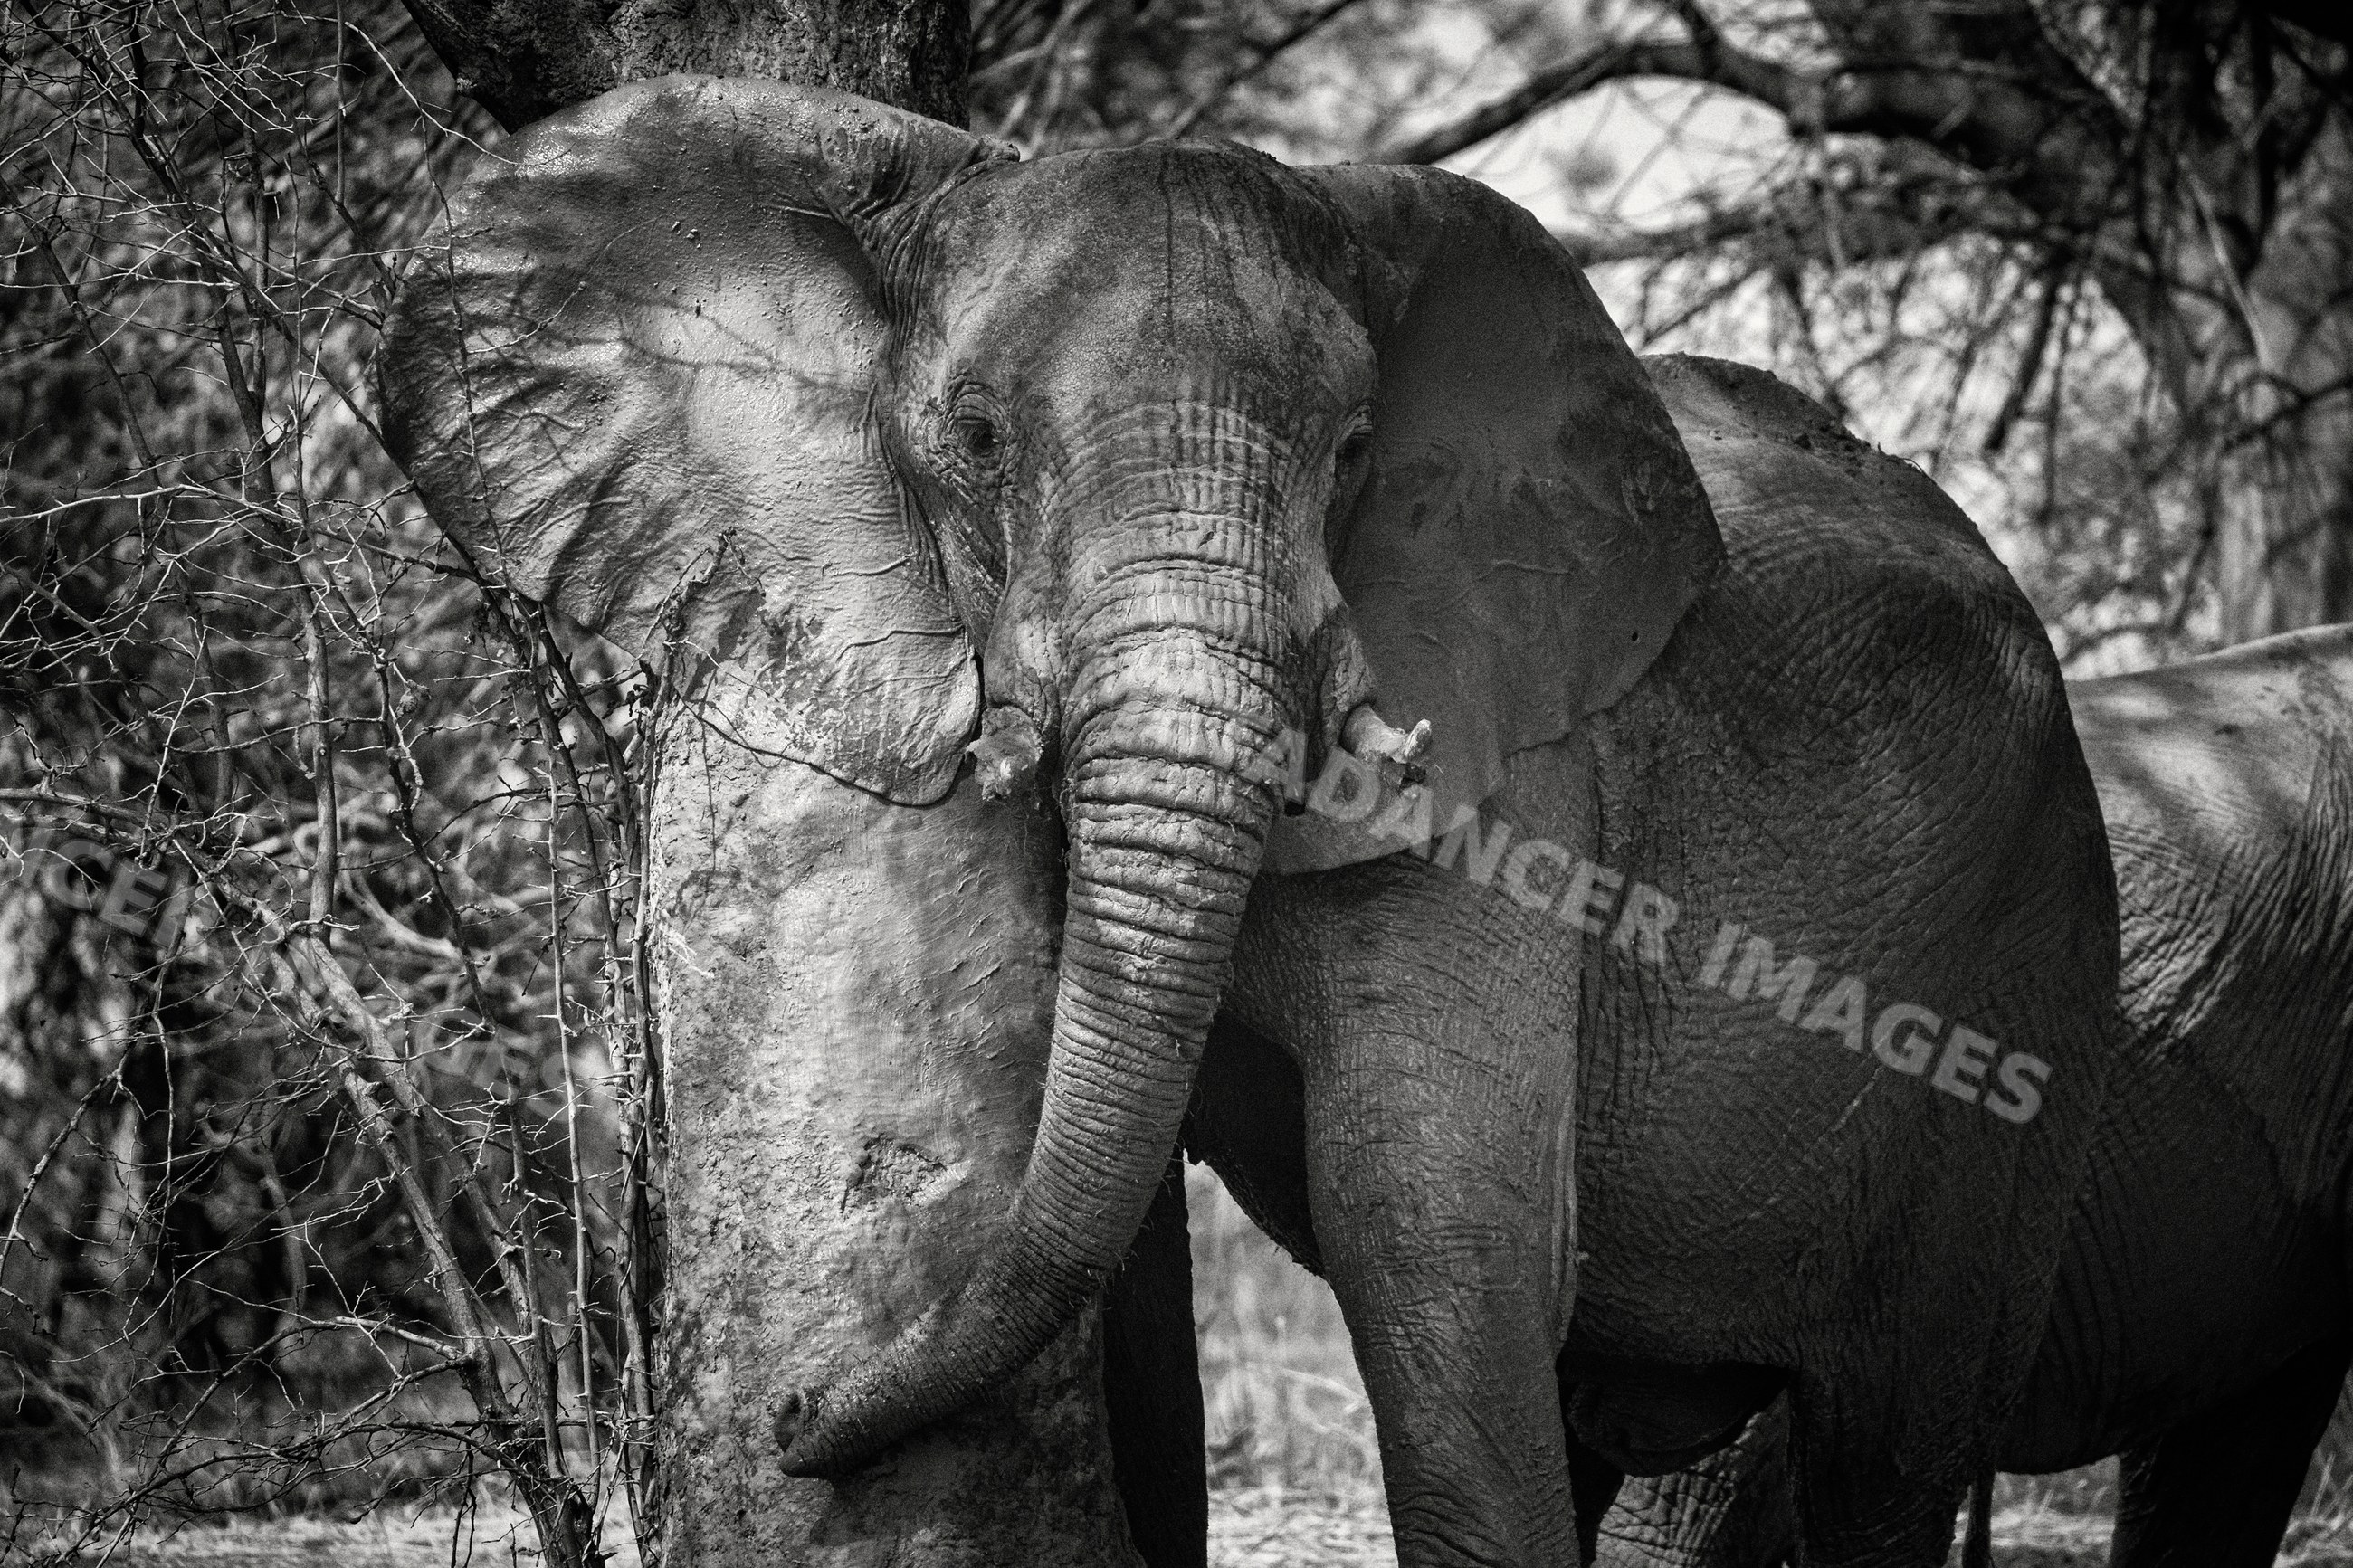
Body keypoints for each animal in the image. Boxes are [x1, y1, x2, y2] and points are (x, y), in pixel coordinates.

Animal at [379, 75, 2122, 1568]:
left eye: (1354, 453)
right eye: (973, 439)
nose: (798, 1423)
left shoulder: (1521, 767)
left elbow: (1428, 1215)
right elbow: (1133, 1253)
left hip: (2024, 1012)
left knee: (1888, 1453)